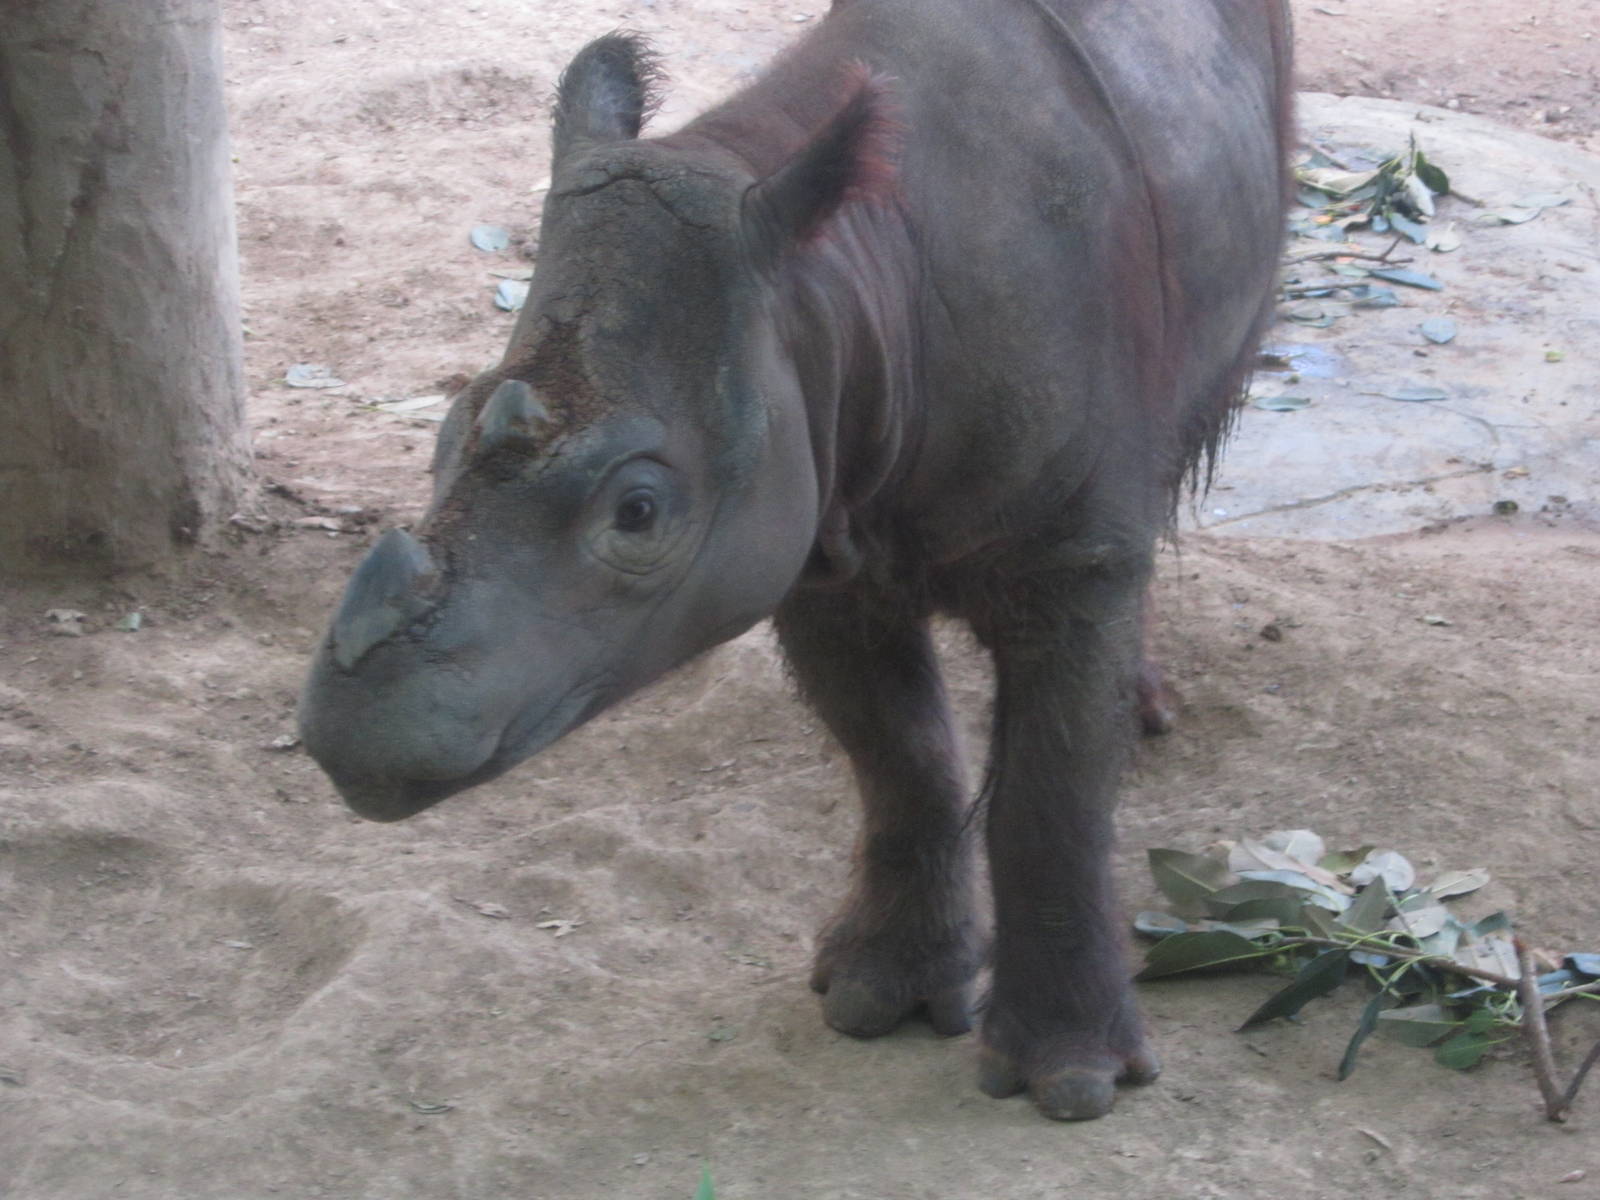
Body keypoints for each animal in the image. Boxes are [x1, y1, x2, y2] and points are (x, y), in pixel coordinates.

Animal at [300, 0, 1292, 1120]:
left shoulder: (1065, 554)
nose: (353, 743)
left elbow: (1052, 793)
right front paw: (875, 1000)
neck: (834, 290)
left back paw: (1140, 708)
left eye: (638, 512)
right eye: (439, 439)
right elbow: (897, 755)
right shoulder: (809, 540)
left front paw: (1072, 1084)